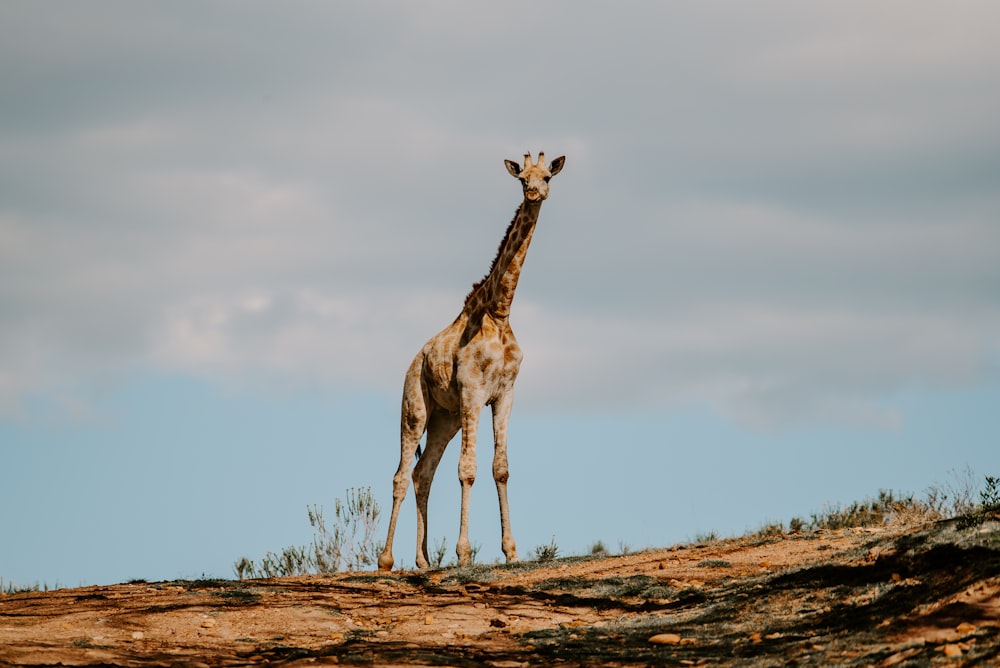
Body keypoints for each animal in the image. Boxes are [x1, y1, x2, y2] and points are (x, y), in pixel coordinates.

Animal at [376, 151, 564, 568]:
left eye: (547, 176)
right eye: (521, 178)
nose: (534, 193)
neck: (499, 312)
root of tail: (413, 362)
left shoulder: (505, 394)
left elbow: (500, 468)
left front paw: (511, 551)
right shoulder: (473, 392)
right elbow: (468, 470)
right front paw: (464, 554)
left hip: (445, 419)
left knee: (422, 473)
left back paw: (424, 560)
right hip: (415, 408)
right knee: (400, 475)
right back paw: (386, 560)